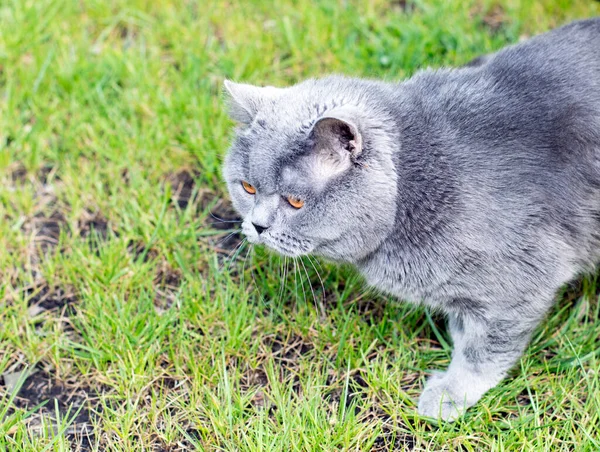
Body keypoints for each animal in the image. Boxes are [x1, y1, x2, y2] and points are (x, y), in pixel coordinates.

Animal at [221, 17, 600, 420]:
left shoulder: (521, 280)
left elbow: (483, 349)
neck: (415, 188)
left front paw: (448, 395)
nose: (258, 226)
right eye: (247, 187)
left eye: (295, 202)